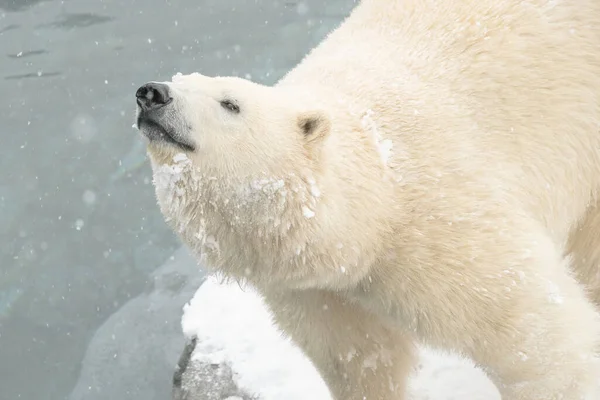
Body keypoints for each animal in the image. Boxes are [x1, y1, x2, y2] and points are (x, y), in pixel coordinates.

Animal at [134, 0, 600, 398]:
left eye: (229, 103)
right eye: (182, 80)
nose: (151, 94)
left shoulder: (445, 222)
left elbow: (534, 340)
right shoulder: (316, 292)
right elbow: (361, 359)